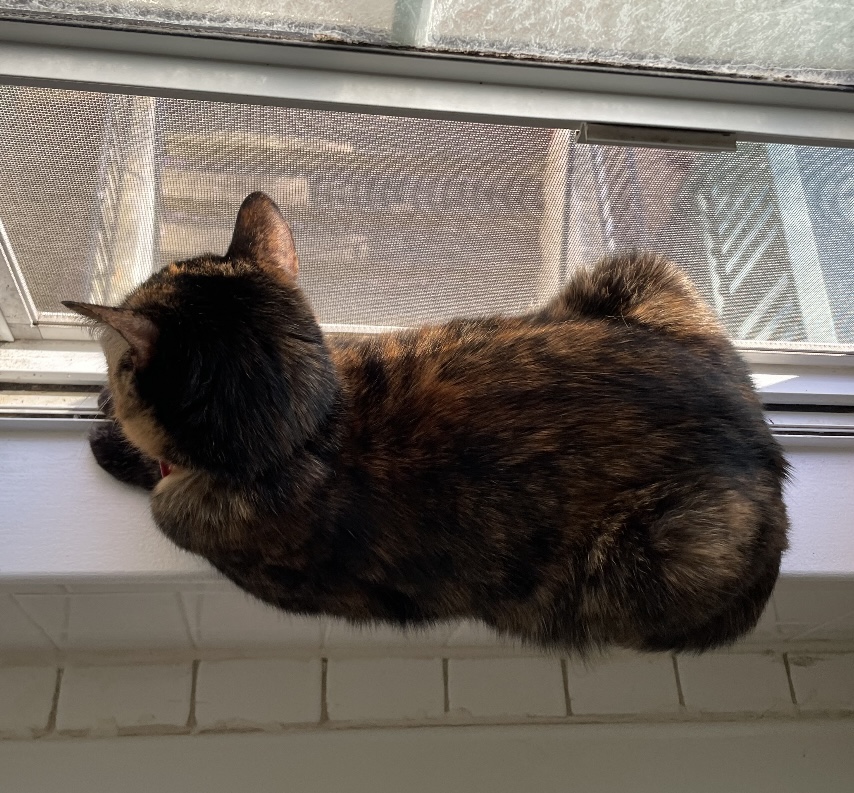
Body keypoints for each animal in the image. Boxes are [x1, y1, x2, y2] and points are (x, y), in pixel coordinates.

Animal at [63, 190, 792, 648]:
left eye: (115, 362)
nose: (103, 391)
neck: (309, 434)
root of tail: (765, 448)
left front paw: (109, 433)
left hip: (679, 544)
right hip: (638, 270)